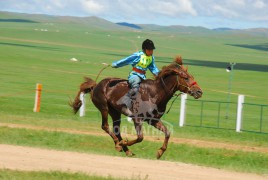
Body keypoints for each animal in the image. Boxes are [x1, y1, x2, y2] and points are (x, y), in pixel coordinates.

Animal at [70, 56, 202, 159]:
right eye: (186, 78)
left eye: (192, 76)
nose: (199, 92)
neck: (154, 94)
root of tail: (96, 85)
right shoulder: (137, 118)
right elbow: (140, 137)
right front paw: (124, 143)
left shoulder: (153, 120)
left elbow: (167, 133)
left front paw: (160, 152)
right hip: (104, 108)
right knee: (105, 126)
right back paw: (119, 144)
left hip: (115, 112)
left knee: (116, 130)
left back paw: (126, 150)